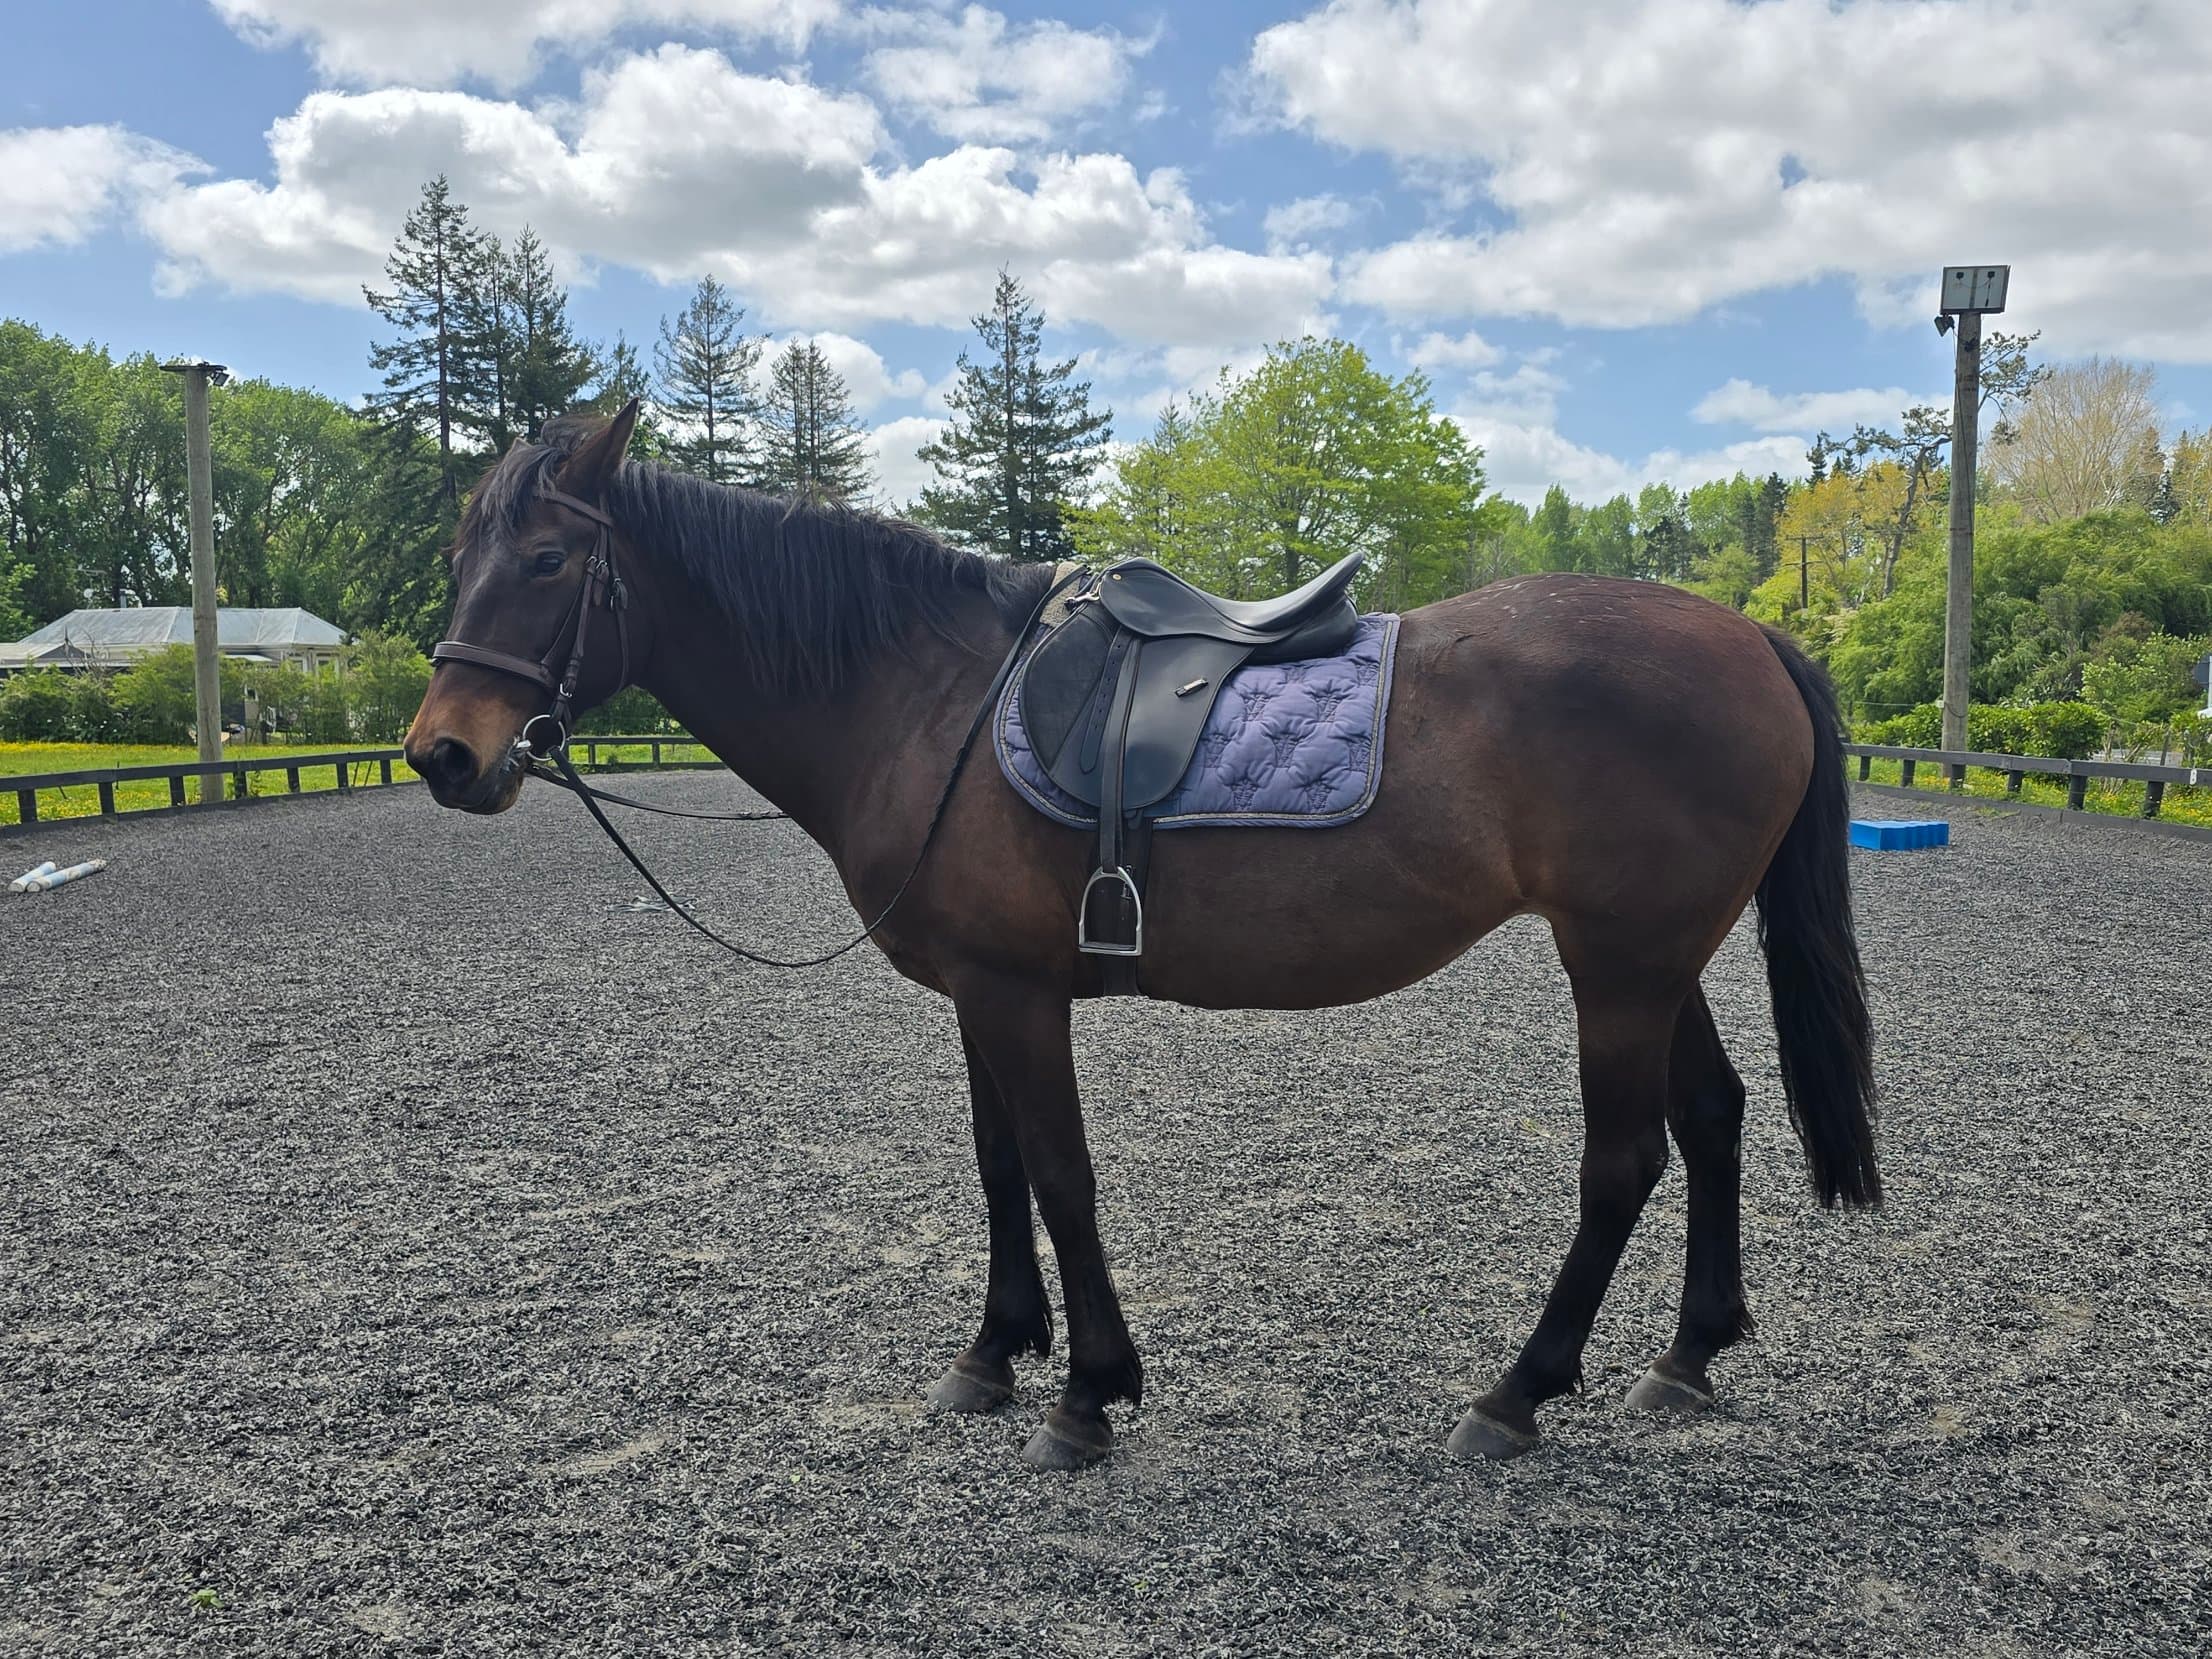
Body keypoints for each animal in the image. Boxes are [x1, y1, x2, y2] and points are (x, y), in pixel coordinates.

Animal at [403, 403, 1879, 1472]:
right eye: (458, 560)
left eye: (548, 561)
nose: (441, 754)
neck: (925, 696)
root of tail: (1753, 635)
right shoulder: (977, 991)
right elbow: (1000, 1166)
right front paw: (995, 1355)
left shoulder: (1016, 993)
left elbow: (1062, 1176)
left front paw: (1088, 1394)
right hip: (1652, 956)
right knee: (1715, 1113)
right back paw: (1688, 1357)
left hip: (1620, 965)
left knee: (1624, 1160)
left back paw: (1516, 1391)